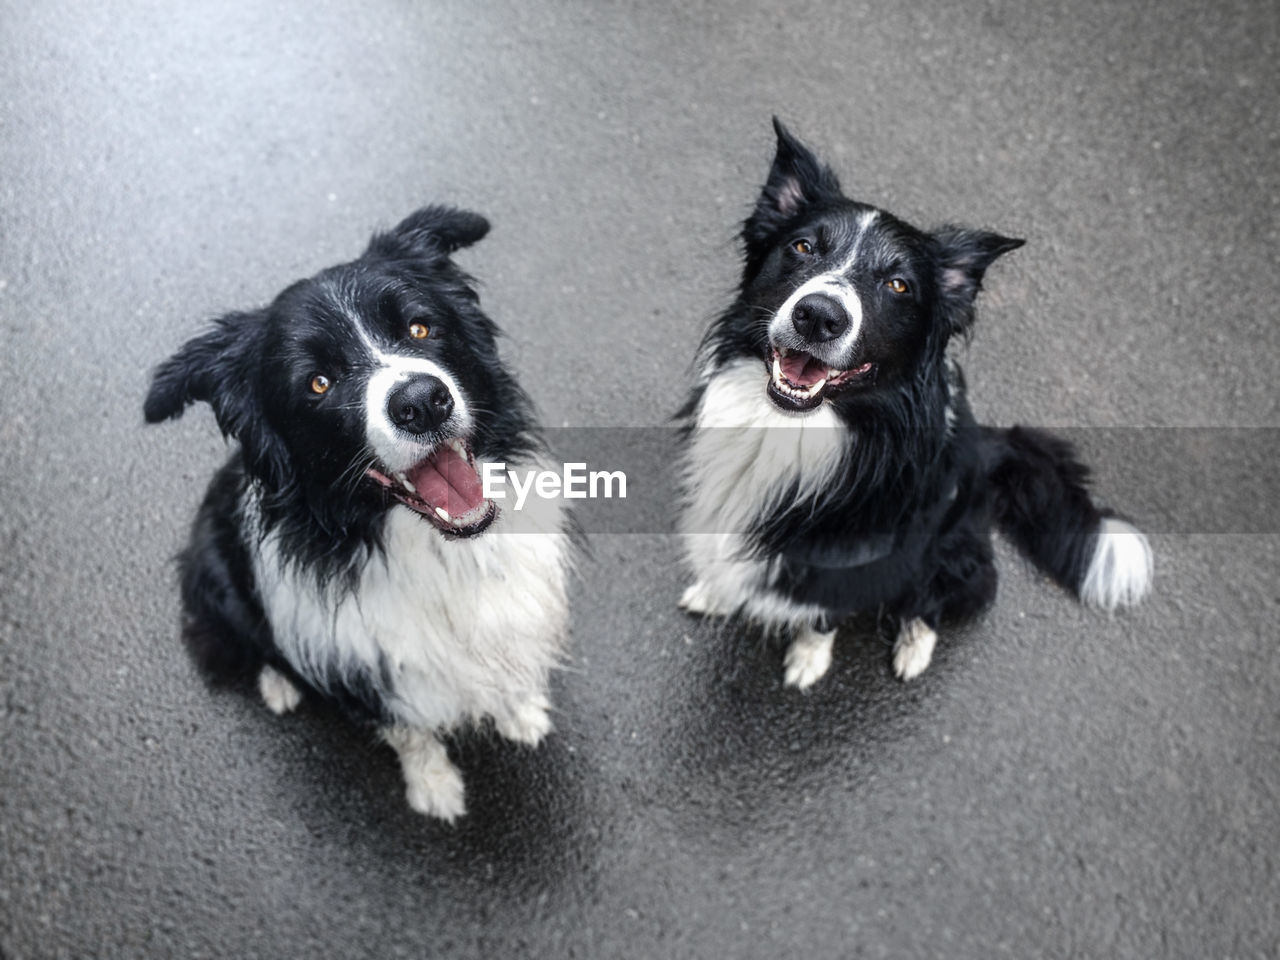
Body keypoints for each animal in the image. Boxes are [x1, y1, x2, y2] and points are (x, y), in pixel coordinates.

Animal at [142, 204, 573, 819]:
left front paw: (520, 712)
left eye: (419, 328)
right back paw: (280, 684)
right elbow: (407, 730)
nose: (421, 402)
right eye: (318, 382)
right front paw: (434, 788)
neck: (435, 549)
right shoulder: (366, 663)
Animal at [680, 122, 1152, 691]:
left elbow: (823, 614)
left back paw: (913, 646)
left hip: (953, 555)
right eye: (803, 246)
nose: (819, 316)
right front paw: (716, 592)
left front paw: (808, 660)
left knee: (936, 602)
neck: (797, 426)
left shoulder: (862, 562)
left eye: (898, 284)